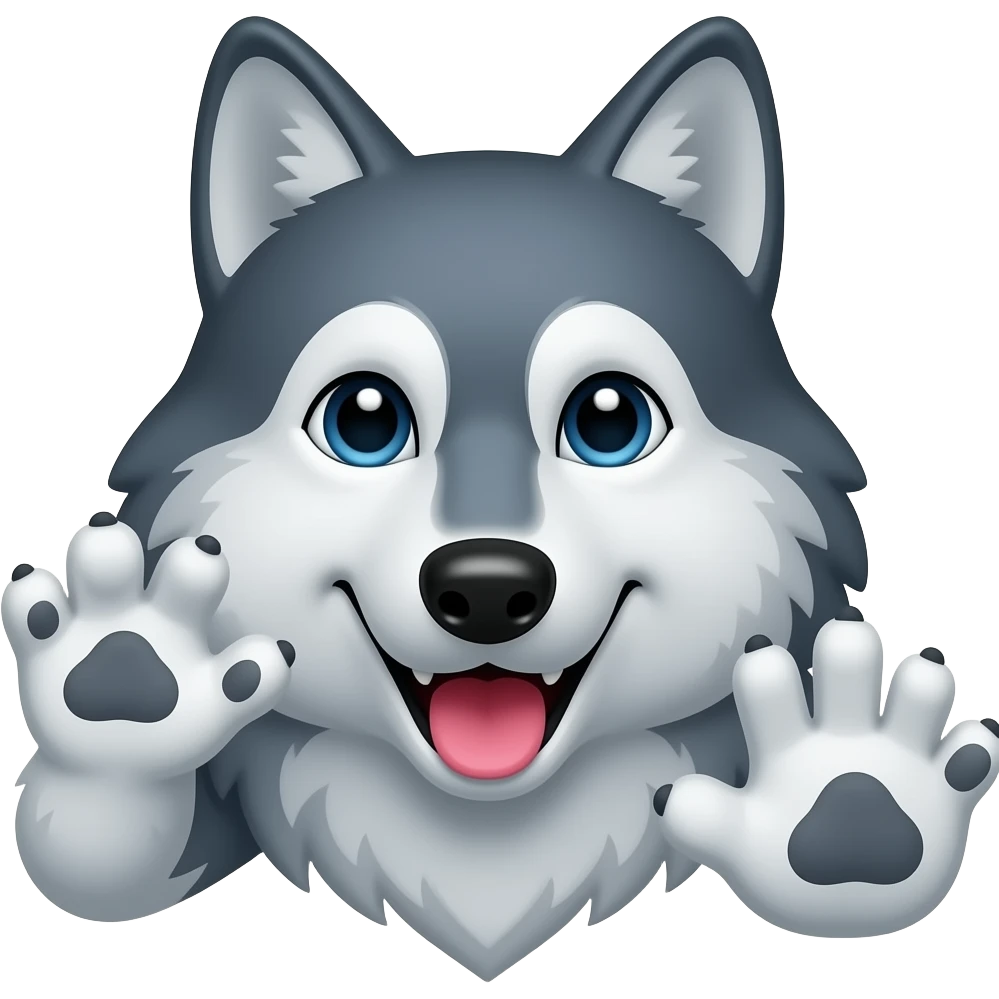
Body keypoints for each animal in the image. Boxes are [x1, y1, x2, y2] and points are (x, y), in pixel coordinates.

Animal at [5, 13, 996, 982]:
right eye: (363, 420)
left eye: (608, 420)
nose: (486, 588)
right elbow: (97, 857)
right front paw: (127, 671)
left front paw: (850, 794)